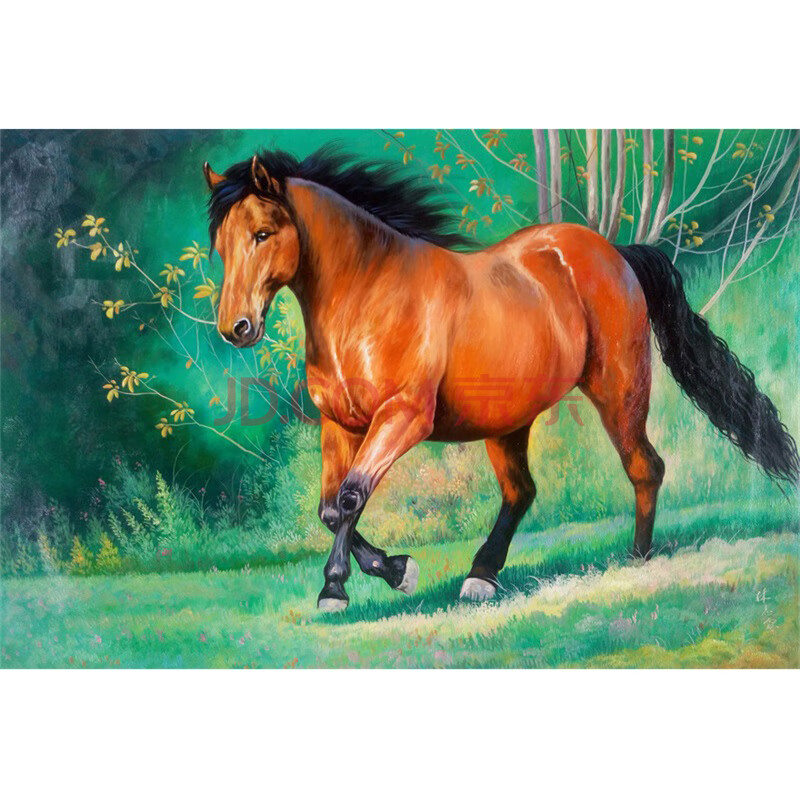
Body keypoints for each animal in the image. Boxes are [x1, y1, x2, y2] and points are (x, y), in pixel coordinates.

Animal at [203, 147, 799, 611]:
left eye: (263, 234)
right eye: (222, 246)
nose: (236, 328)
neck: (368, 297)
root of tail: (615, 254)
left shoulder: (404, 418)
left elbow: (350, 498)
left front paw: (366, 581)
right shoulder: (340, 424)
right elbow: (330, 508)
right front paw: (363, 580)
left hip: (620, 391)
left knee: (644, 467)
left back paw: (636, 558)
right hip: (507, 420)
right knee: (522, 491)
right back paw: (482, 577)